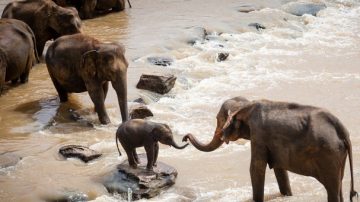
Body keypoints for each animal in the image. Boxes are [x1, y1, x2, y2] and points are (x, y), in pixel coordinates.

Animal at [219, 99, 358, 202]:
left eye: (220, 120)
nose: (222, 137)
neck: (247, 106)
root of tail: (343, 131)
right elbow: (279, 168)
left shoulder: (258, 136)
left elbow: (256, 168)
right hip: (338, 154)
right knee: (338, 186)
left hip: (329, 154)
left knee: (332, 189)